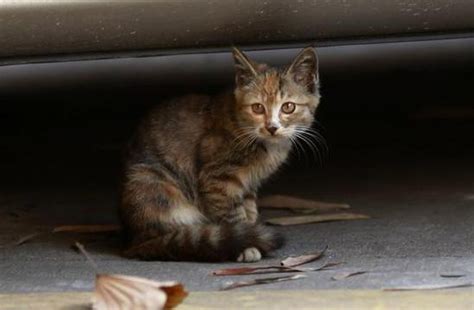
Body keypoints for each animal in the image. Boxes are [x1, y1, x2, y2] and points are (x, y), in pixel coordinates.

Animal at [118, 47, 320, 262]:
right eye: (257, 107)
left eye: (288, 107)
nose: (272, 127)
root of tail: (133, 241)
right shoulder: (217, 179)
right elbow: (231, 214)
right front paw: (246, 245)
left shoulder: (249, 183)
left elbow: (249, 209)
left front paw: (250, 232)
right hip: (153, 184)